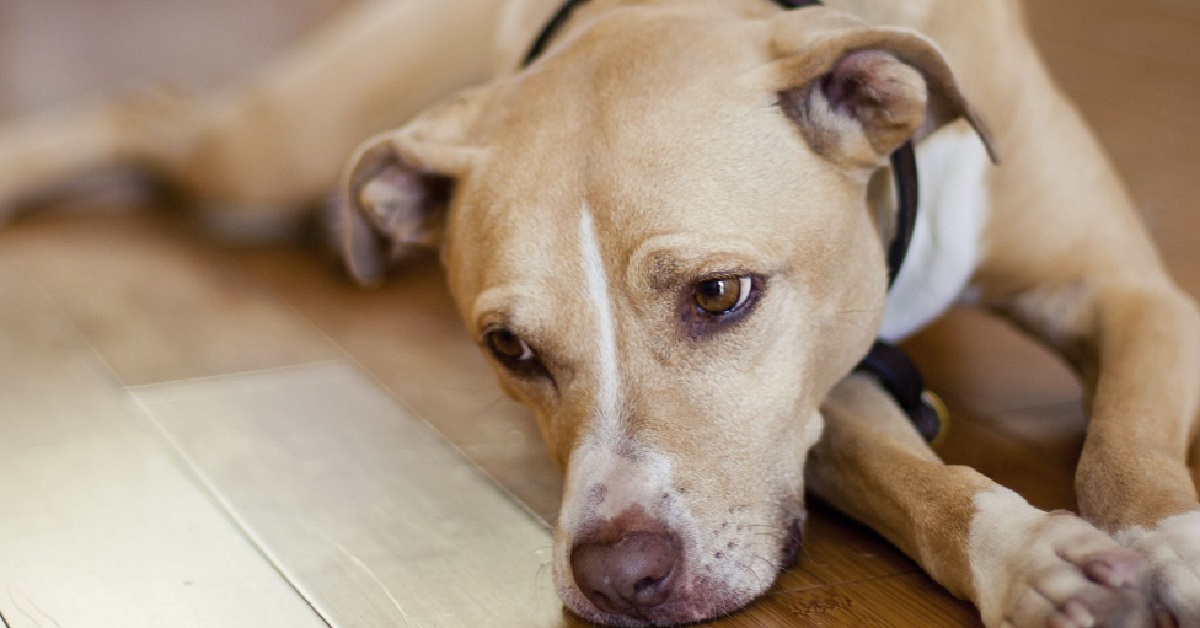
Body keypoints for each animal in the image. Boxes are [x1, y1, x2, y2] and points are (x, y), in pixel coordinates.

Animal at [2, 1, 1200, 628]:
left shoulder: (1128, 290)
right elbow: (924, 488)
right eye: (507, 348)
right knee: (148, 108)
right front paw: (1030, 556)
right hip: (273, 149)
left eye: (719, 293)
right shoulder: (817, 404)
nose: (620, 578)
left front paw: (1169, 547)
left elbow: (1126, 444)